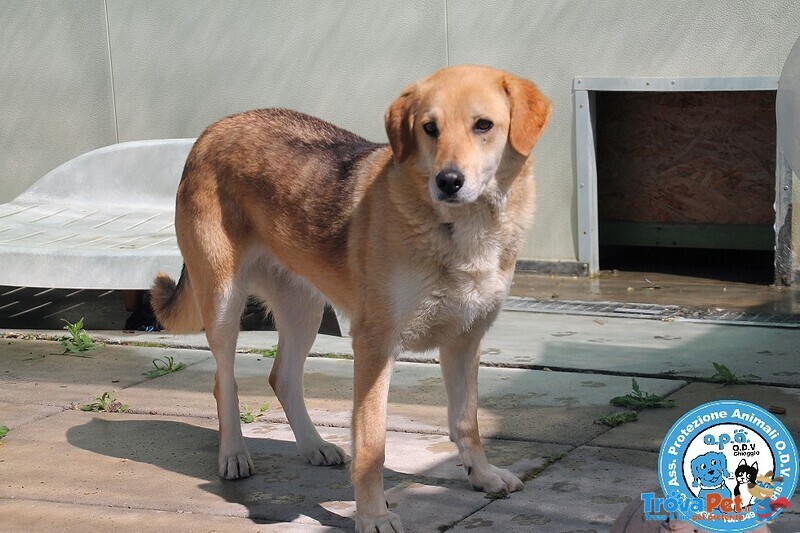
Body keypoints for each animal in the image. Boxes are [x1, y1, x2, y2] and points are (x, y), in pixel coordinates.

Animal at [150, 64, 552, 528]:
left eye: (483, 125)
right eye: (429, 128)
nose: (448, 182)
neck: (460, 229)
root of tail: (212, 130)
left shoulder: (465, 340)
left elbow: (466, 421)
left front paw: (482, 475)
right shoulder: (375, 347)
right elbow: (372, 444)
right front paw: (373, 515)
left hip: (303, 309)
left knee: (282, 376)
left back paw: (314, 446)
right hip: (222, 302)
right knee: (224, 381)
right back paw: (233, 453)